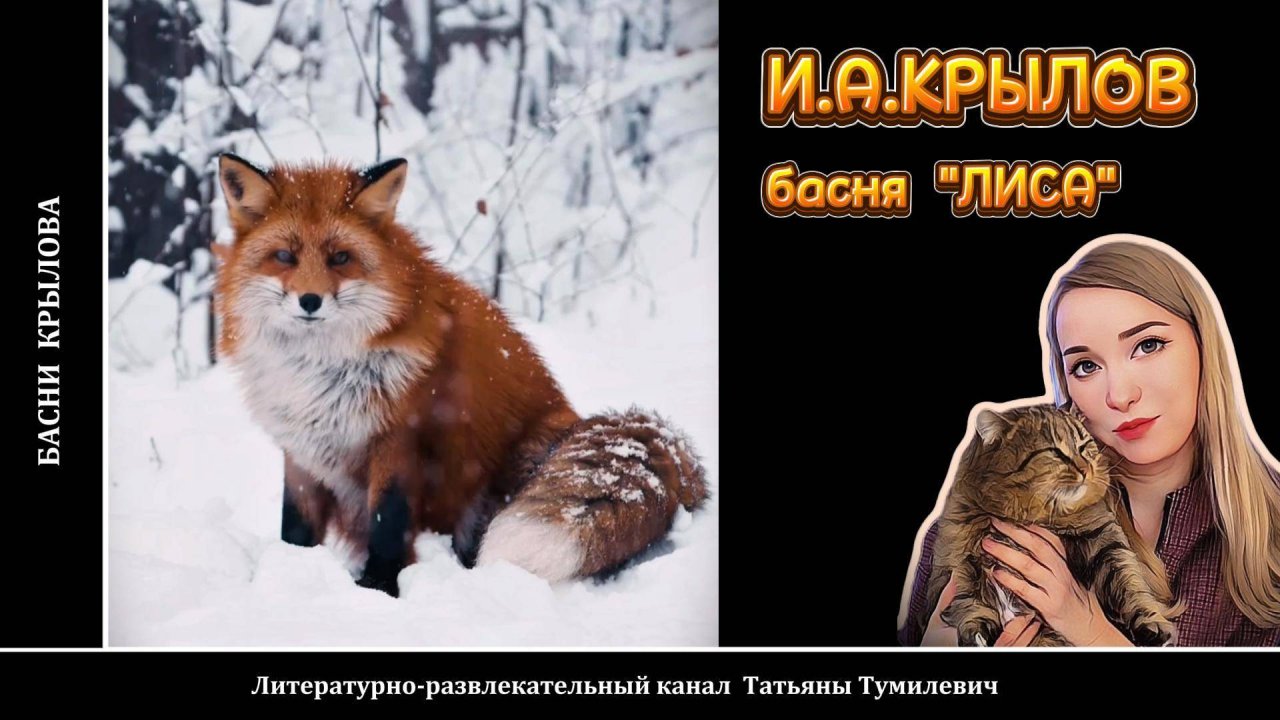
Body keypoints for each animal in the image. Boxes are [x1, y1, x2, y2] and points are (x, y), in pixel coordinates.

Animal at [211, 153, 708, 596]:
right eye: (284, 256)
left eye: (339, 258)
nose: (310, 301)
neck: (319, 372)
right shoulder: (301, 449)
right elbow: (294, 528)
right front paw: (287, 574)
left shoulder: (399, 440)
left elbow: (387, 526)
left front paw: (377, 592)